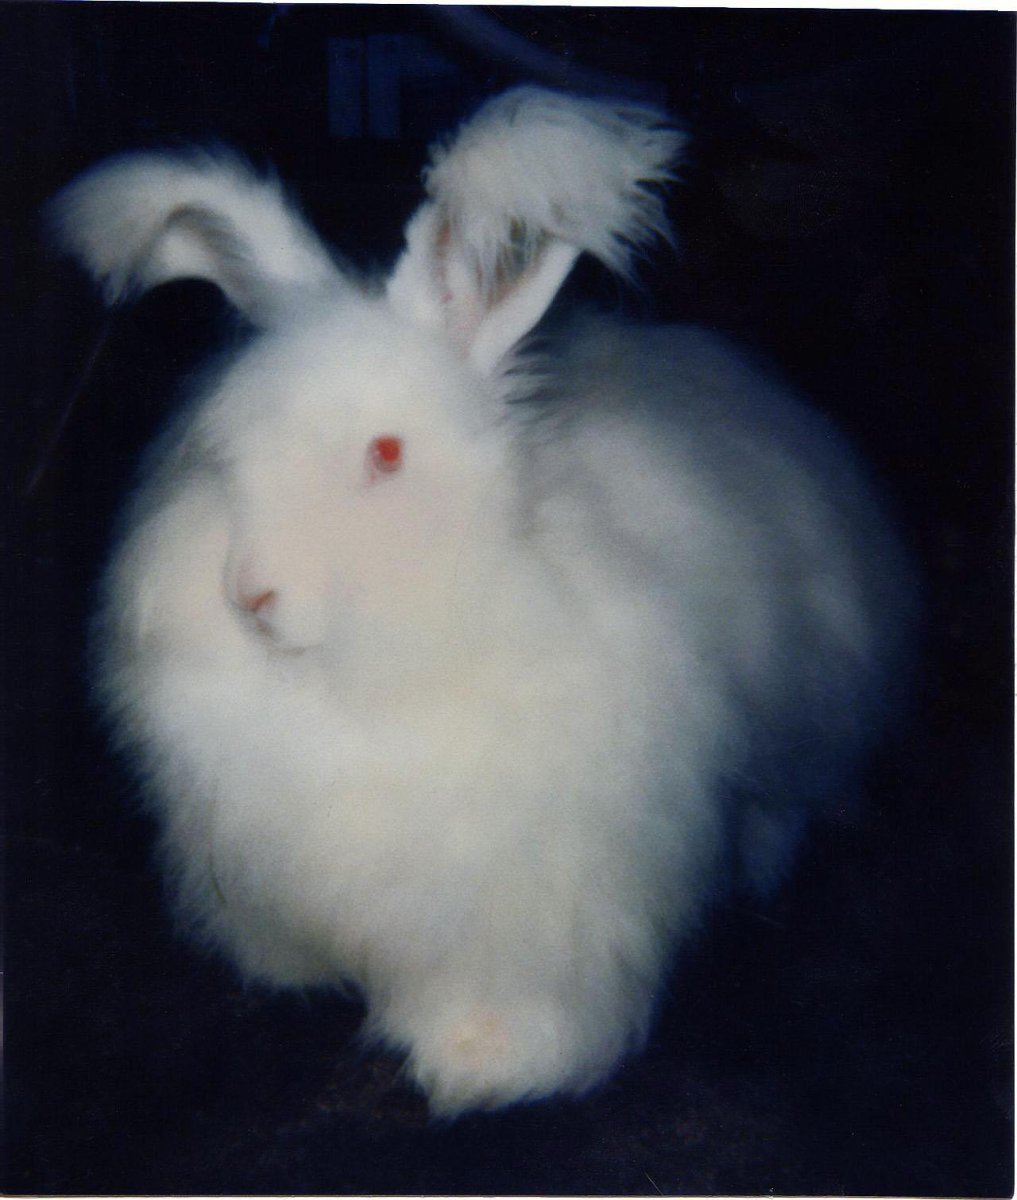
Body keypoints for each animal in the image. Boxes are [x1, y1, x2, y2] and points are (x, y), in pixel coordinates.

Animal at [50, 87, 914, 1116]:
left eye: (385, 455)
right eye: (223, 453)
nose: (249, 595)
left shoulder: (539, 893)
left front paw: (482, 1059)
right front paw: (291, 974)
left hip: (809, 710)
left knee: (786, 798)